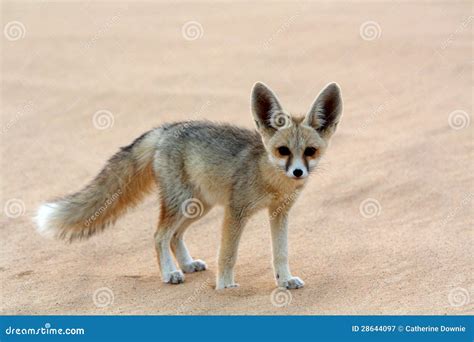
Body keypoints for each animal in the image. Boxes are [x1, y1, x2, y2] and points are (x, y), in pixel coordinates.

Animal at [36, 82, 340, 288]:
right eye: (283, 151)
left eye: (310, 151)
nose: (298, 172)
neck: (271, 180)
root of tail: (167, 128)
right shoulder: (236, 212)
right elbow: (228, 254)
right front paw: (226, 287)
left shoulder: (279, 213)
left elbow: (281, 253)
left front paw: (284, 280)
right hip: (183, 204)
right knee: (159, 236)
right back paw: (170, 273)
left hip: (198, 207)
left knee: (174, 236)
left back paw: (186, 264)